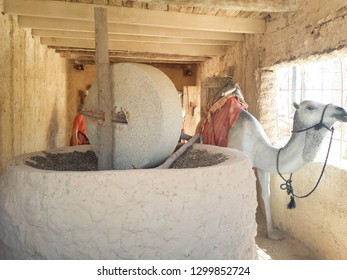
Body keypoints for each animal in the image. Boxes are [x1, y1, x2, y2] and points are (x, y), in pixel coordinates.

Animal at [228, 99, 347, 240]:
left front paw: (272, 234)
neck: (256, 146)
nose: (342, 111)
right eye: (310, 107)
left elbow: (266, 194)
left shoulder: (262, 168)